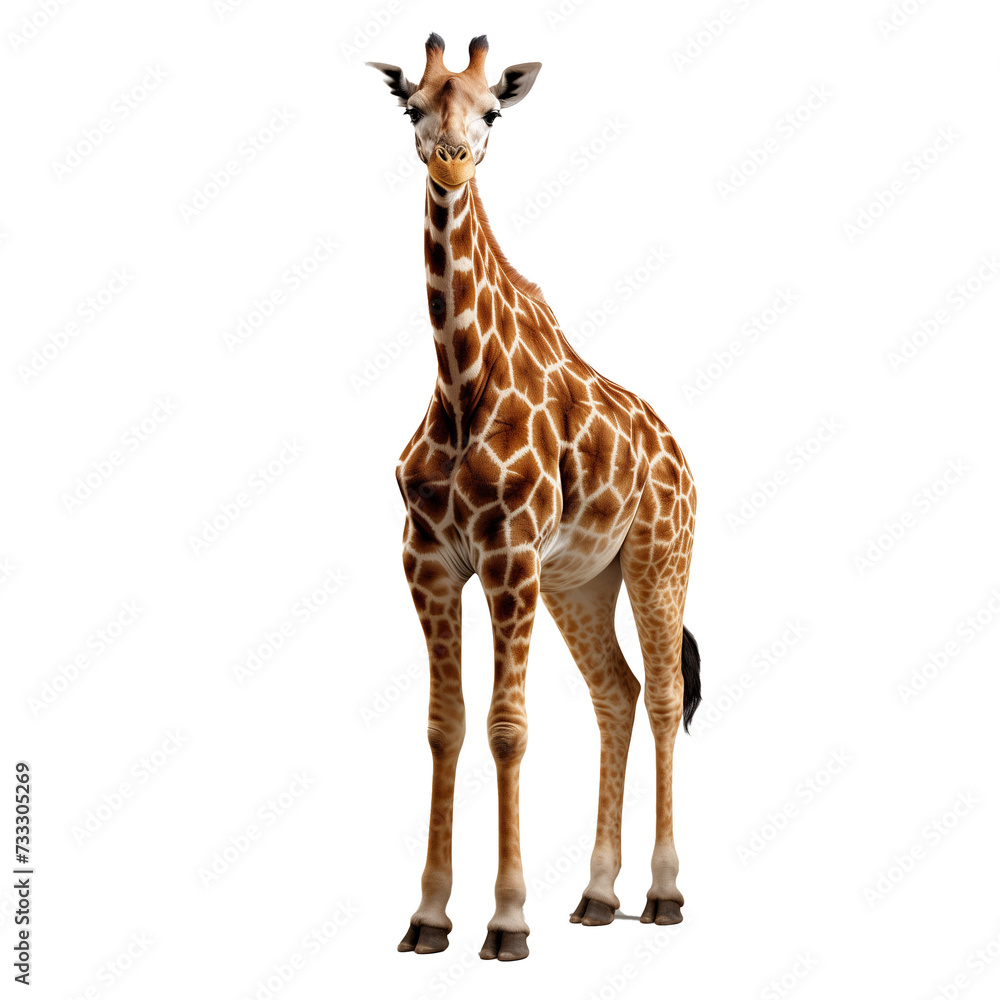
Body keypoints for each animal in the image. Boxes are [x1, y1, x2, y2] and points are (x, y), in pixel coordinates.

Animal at [368, 33, 701, 962]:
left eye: (492, 112)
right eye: (413, 106)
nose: (450, 162)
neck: (460, 383)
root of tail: (681, 457)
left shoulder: (509, 556)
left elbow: (507, 728)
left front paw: (507, 921)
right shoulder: (429, 561)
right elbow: (444, 724)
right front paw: (428, 917)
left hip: (657, 560)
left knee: (664, 696)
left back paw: (663, 895)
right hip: (580, 582)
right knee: (616, 694)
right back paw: (595, 896)